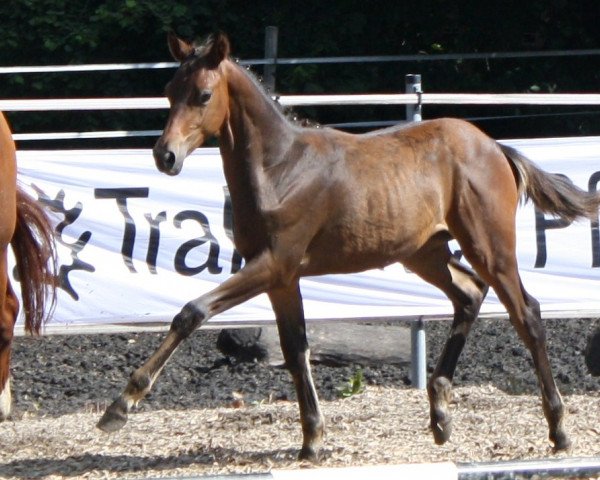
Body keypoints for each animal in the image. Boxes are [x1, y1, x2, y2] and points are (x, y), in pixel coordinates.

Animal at [98, 31, 600, 460]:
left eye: (203, 94)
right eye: (169, 90)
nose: (165, 155)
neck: (280, 169)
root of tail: (495, 147)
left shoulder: (271, 263)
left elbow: (192, 312)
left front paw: (121, 405)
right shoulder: (283, 278)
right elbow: (295, 348)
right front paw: (312, 441)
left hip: (489, 247)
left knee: (526, 313)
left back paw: (558, 430)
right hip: (425, 253)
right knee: (469, 294)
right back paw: (440, 413)